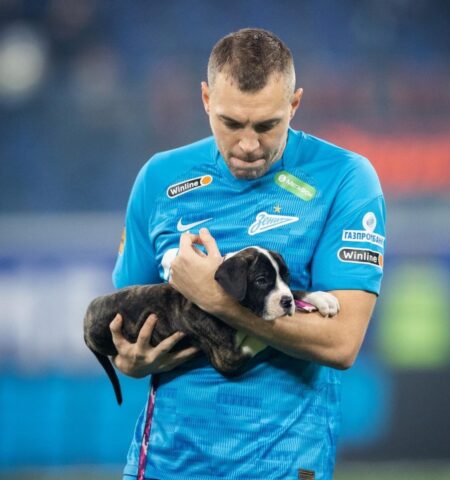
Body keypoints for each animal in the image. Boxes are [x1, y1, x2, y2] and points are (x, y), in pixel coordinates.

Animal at [84, 248, 340, 404]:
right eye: (261, 281)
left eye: (286, 277)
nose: (286, 302)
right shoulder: (227, 357)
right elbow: (257, 334)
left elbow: (296, 292)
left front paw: (319, 297)